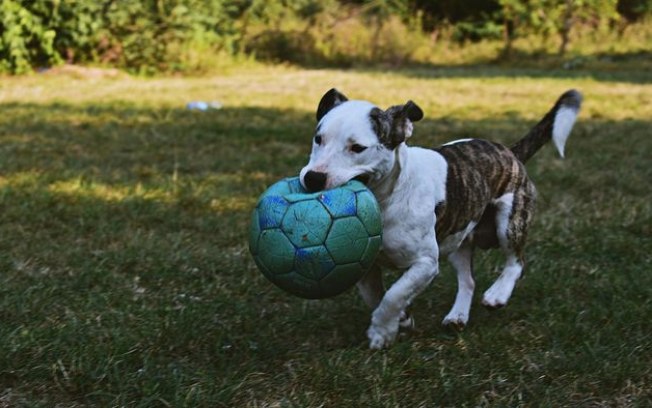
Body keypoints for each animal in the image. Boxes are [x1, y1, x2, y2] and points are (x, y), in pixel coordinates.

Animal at [300, 87, 580, 350]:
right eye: (318, 138)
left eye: (357, 148)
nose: (313, 178)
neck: (386, 199)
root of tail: (509, 152)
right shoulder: (362, 264)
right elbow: (376, 296)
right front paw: (401, 319)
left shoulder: (425, 263)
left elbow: (394, 294)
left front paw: (382, 332)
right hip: (458, 238)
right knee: (468, 279)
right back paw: (457, 316)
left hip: (510, 221)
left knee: (516, 261)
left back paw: (497, 294)